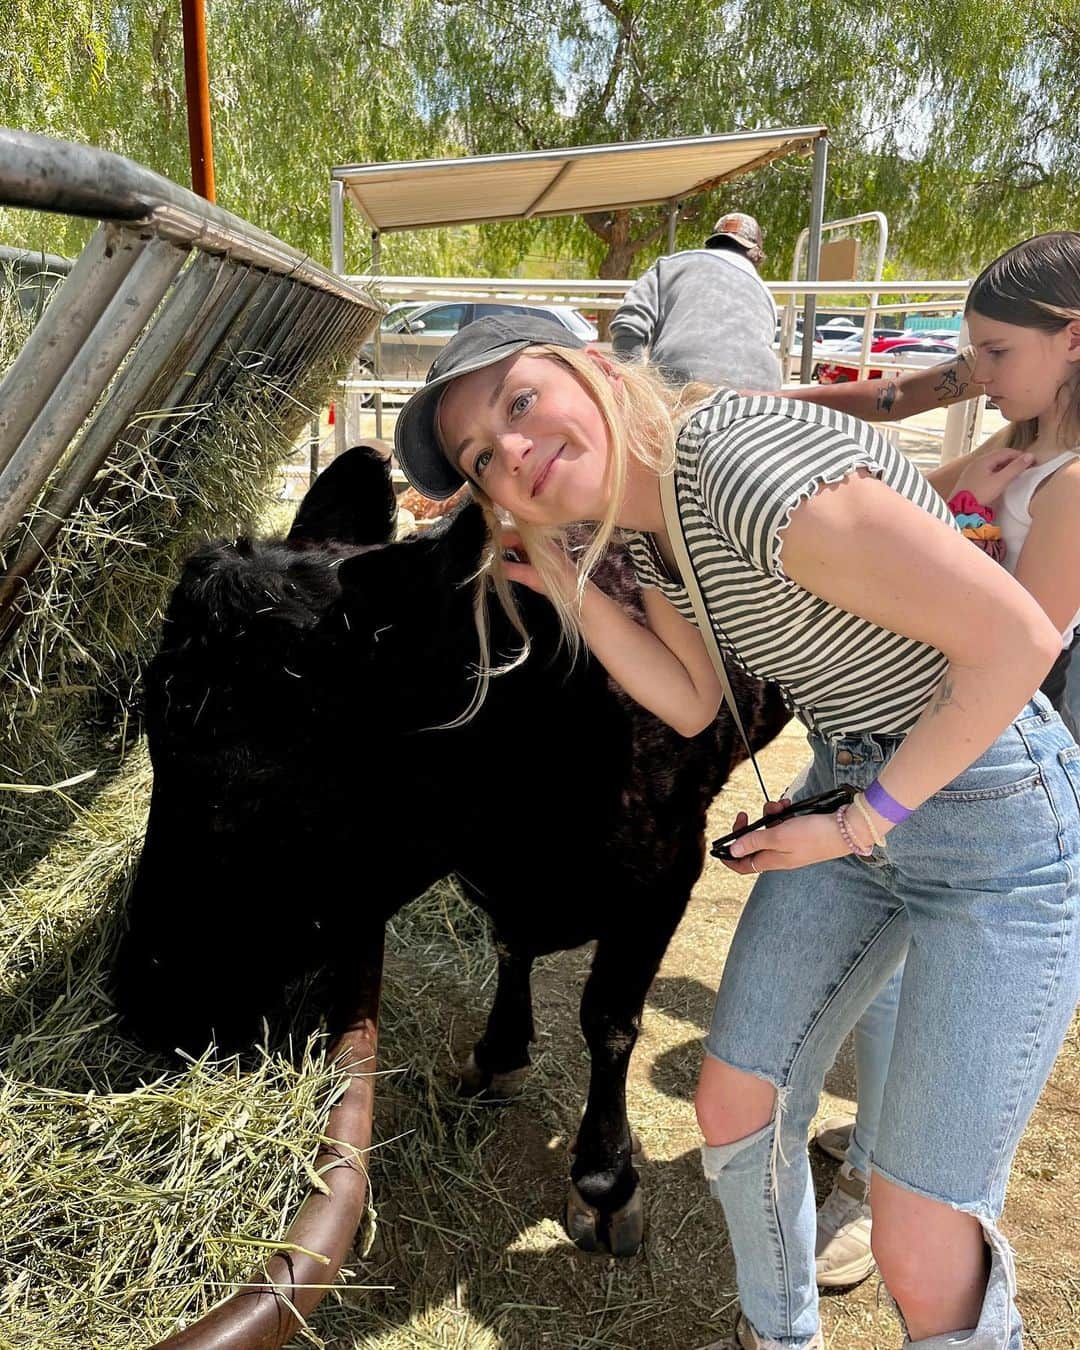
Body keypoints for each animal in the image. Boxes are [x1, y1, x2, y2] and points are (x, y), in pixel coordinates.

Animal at [114, 448, 788, 1258]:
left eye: (268, 771)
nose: (143, 998)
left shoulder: (665, 870)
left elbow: (609, 1020)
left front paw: (604, 1179)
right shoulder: (502, 886)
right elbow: (510, 947)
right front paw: (499, 1053)